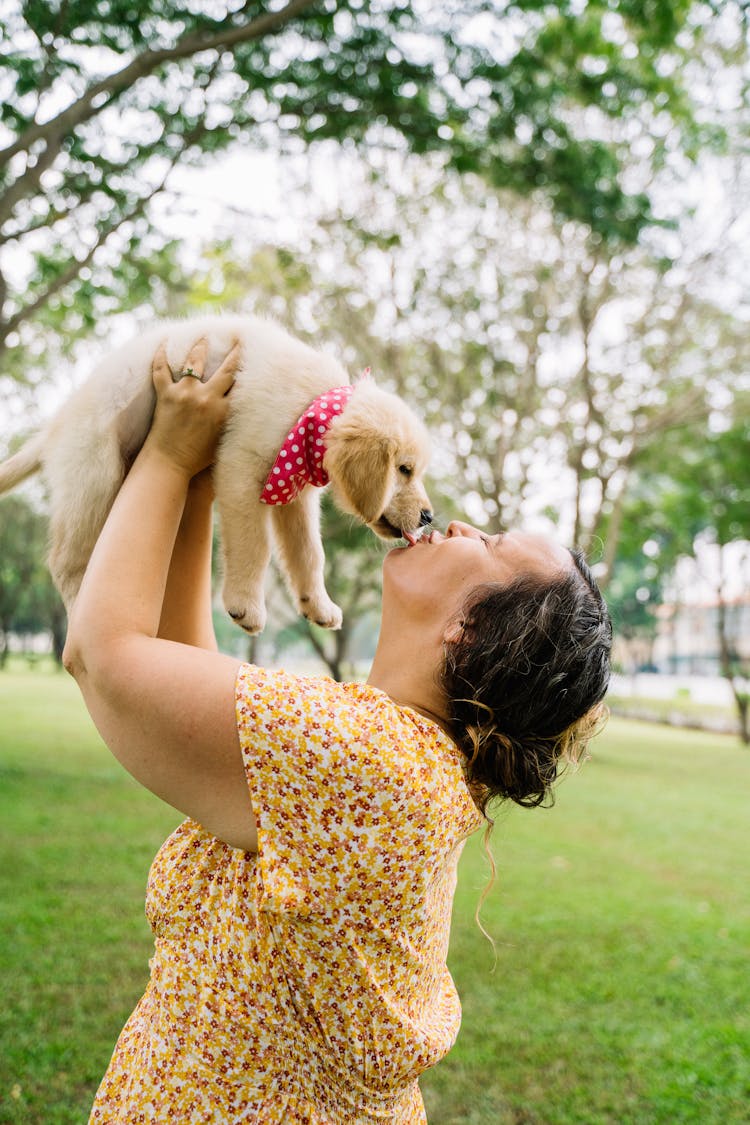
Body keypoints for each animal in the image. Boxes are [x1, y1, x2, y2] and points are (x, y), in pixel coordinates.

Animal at [0, 317, 434, 634]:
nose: (429, 517)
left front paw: (318, 605)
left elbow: (309, 552)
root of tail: (53, 430)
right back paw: (79, 611)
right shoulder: (241, 466)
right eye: (404, 470)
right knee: (65, 561)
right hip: (94, 475)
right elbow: (255, 546)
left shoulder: (293, 492)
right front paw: (246, 605)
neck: (309, 405)